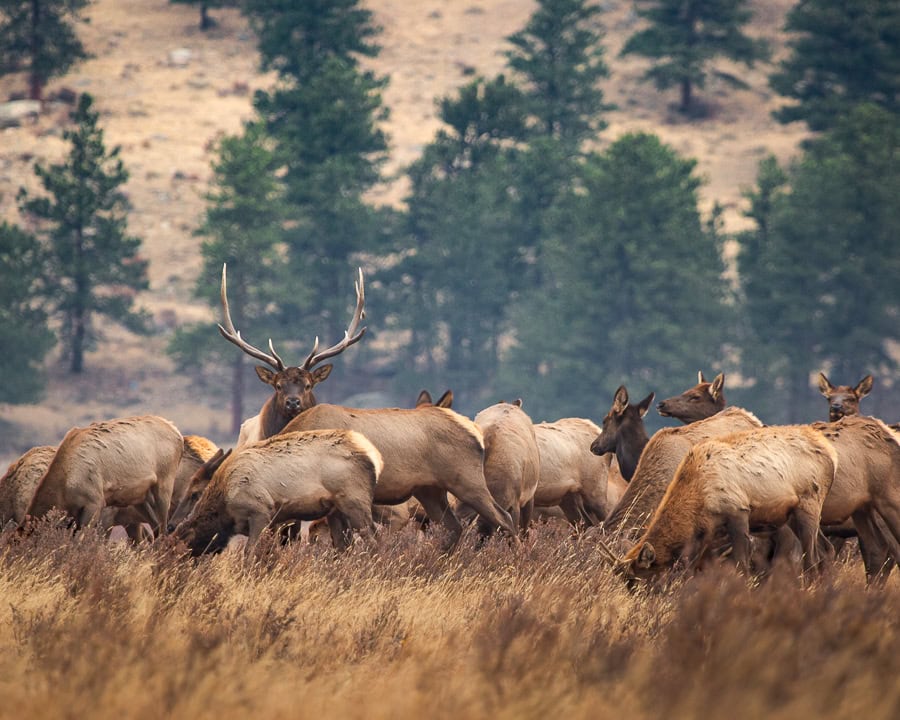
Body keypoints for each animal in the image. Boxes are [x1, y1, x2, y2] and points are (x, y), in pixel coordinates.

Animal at [25, 416, 184, 533]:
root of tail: (178, 433)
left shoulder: (94, 502)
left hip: (164, 482)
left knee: (163, 527)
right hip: (138, 496)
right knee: (156, 527)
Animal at [174, 429, 382, 555]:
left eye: (194, 494)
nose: (170, 525)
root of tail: (376, 457)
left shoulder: (261, 512)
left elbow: (249, 553)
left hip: (354, 501)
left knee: (374, 540)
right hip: (335, 510)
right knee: (344, 546)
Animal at [617, 425, 837, 582]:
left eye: (637, 580)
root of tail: (832, 455)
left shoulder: (737, 510)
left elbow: (742, 567)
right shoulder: (708, 534)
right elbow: (694, 571)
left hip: (809, 502)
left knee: (811, 559)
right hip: (792, 514)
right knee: (827, 550)